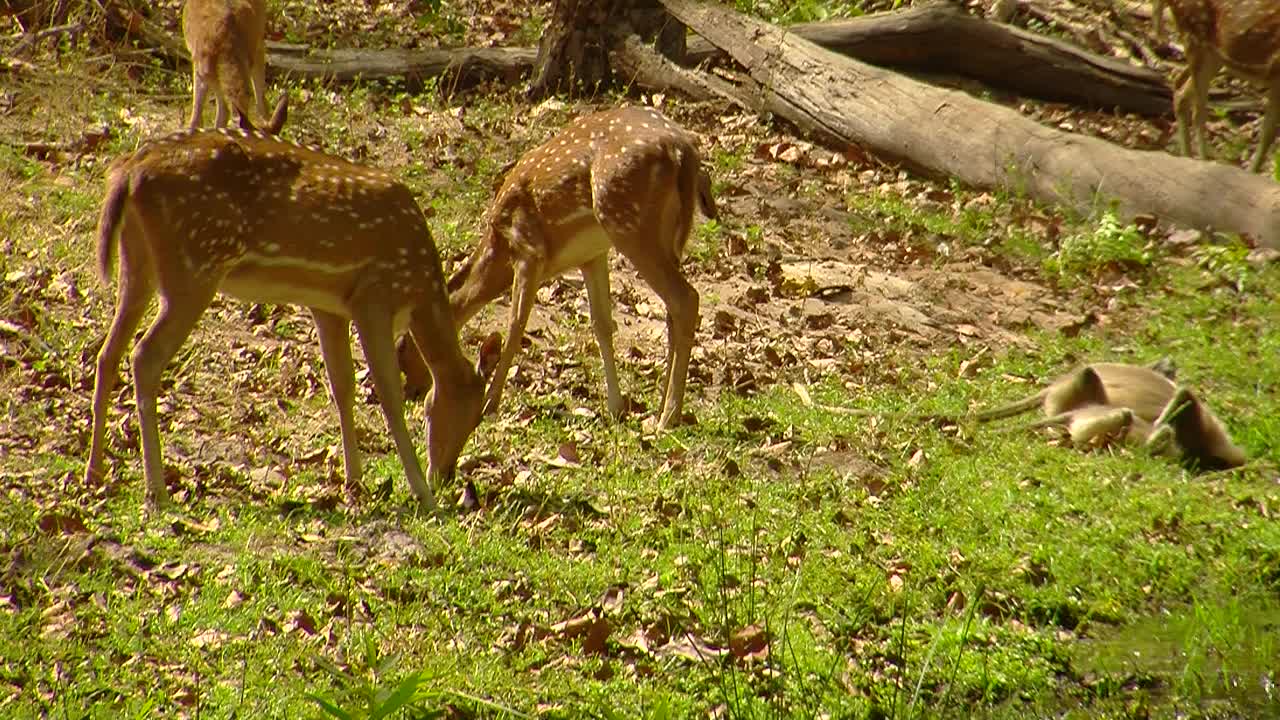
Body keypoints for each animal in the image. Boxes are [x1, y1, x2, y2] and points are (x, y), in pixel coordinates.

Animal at [85, 126, 483, 507]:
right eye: (473, 414)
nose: (445, 476)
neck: (419, 291)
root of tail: (128, 171)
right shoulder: (374, 297)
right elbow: (389, 396)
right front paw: (422, 495)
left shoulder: (329, 306)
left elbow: (343, 387)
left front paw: (354, 481)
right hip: (194, 267)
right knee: (144, 356)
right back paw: (156, 490)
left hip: (138, 261)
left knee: (108, 353)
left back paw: (95, 473)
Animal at [424, 105, 716, 425]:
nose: (413, 394)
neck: (499, 243)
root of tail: (683, 151)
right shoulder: (591, 255)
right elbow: (602, 325)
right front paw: (615, 407)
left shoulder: (528, 250)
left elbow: (515, 325)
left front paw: (490, 404)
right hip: (667, 237)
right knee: (671, 310)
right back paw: (659, 410)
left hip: (628, 223)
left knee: (686, 298)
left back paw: (668, 417)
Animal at [1157, 0, 1280, 172]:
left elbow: (1268, 132)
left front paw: (1253, 171)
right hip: (1195, 37)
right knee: (1197, 110)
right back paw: (1202, 161)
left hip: (1212, 56)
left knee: (1180, 89)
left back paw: (1188, 157)